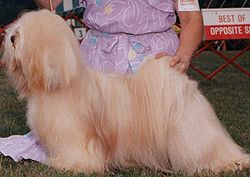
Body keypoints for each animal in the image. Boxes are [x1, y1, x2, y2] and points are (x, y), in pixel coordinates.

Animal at [2, 10, 250, 174]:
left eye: (23, 35)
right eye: (16, 30)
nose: (11, 37)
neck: (63, 82)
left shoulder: (72, 133)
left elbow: (76, 151)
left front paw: (70, 165)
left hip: (192, 133)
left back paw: (234, 162)